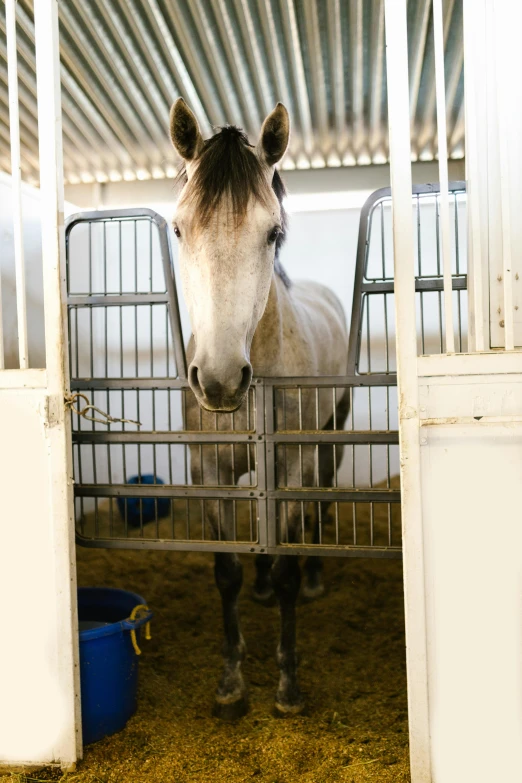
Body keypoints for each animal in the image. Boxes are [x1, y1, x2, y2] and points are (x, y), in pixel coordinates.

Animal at [171, 99, 348, 724]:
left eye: (273, 232)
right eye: (179, 228)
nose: (221, 379)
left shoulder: (292, 463)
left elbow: (291, 562)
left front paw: (288, 686)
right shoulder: (211, 474)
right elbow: (226, 571)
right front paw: (231, 683)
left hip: (329, 439)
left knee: (321, 502)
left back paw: (314, 579)